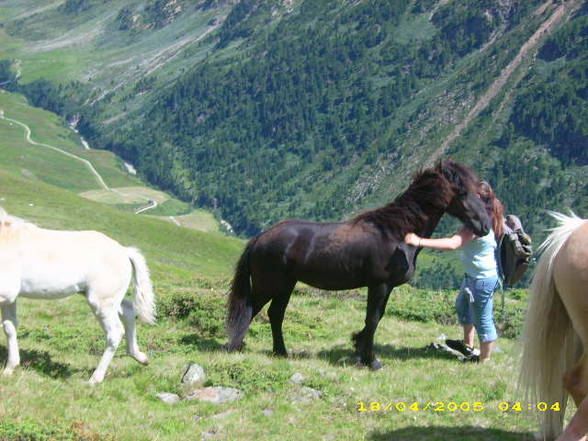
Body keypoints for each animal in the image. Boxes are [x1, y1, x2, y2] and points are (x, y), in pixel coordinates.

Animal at [0, 206, 156, 382]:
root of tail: (124, 251)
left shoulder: (5, 293)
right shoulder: (9, 298)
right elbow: (10, 327)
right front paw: (10, 368)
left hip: (101, 302)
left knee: (115, 333)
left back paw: (95, 379)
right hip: (107, 298)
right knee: (128, 310)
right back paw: (140, 357)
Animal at [226, 158, 492, 368]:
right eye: (463, 192)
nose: (485, 226)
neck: (395, 233)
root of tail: (260, 237)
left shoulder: (386, 288)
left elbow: (377, 318)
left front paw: (358, 349)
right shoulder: (379, 285)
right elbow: (372, 320)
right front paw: (371, 360)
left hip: (287, 285)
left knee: (275, 314)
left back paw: (280, 352)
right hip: (269, 285)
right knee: (250, 309)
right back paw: (234, 347)